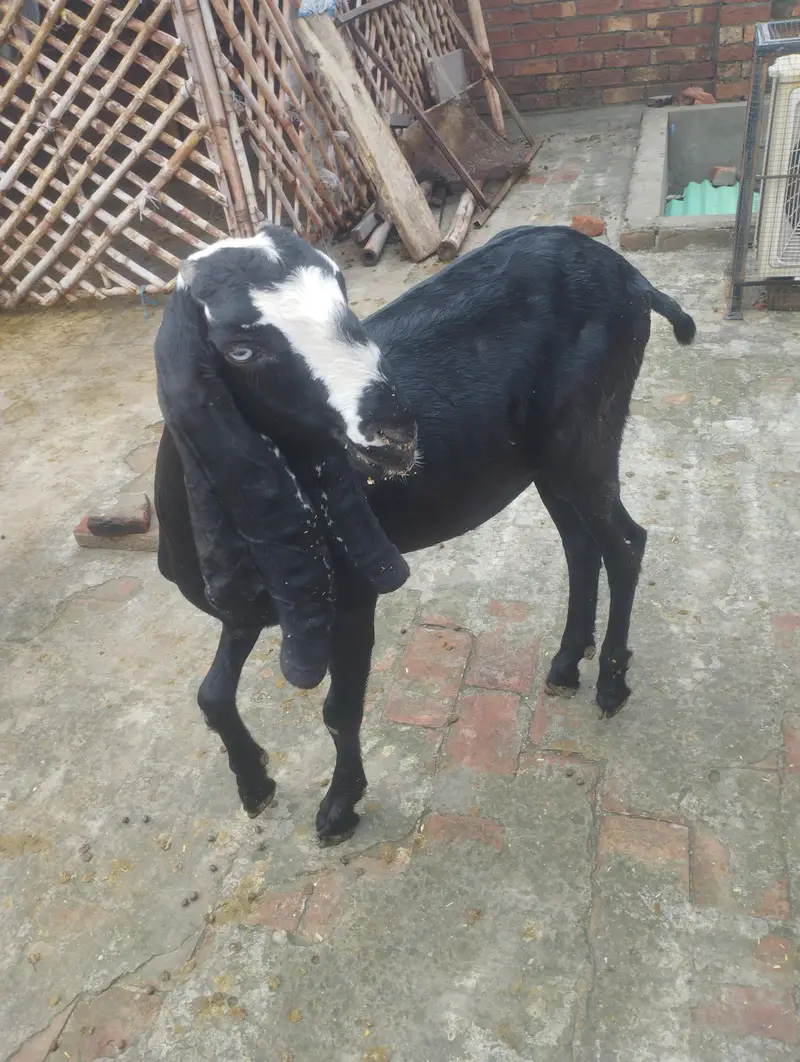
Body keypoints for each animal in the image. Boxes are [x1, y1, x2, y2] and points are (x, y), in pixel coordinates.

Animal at [153, 223, 695, 842]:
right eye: (239, 349)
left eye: (342, 292)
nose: (394, 432)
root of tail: (633, 279)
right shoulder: (256, 601)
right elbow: (212, 695)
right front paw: (255, 785)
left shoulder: (350, 595)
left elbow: (338, 711)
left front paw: (339, 808)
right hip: (545, 461)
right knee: (581, 546)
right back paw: (565, 664)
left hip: (585, 436)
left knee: (625, 544)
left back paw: (610, 683)